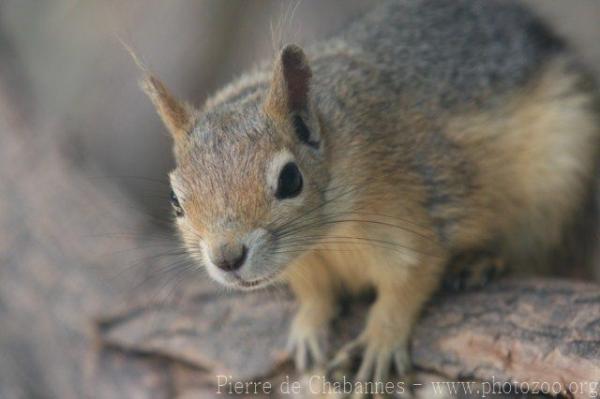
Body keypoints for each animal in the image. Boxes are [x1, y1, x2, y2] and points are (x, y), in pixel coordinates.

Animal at [136, 0, 600, 390]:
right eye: (176, 199)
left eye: (290, 180)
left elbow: (406, 281)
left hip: (559, 189)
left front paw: (379, 340)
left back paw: (480, 261)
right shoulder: (305, 266)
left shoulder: (411, 215)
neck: (324, 241)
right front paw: (309, 325)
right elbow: (315, 294)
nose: (227, 258)